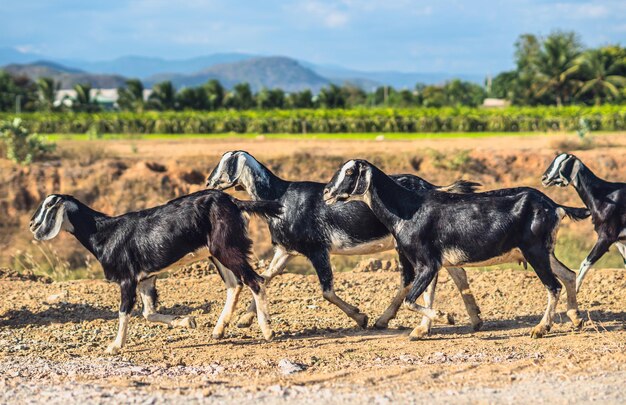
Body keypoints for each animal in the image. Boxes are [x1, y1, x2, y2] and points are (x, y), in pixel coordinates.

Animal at [30, 191, 280, 352]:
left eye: (48, 205)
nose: (32, 225)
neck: (103, 232)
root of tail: (234, 201)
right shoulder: (146, 279)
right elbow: (148, 313)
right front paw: (186, 321)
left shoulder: (127, 279)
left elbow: (124, 312)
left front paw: (115, 346)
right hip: (216, 253)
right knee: (234, 285)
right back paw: (218, 330)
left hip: (226, 247)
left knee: (255, 280)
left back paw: (267, 331)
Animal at [205, 150, 482, 332]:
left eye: (223, 163)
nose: (208, 181)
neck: (280, 197)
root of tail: (431, 186)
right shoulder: (286, 250)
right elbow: (266, 277)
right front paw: (245, 319)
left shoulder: (317, 250)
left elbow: (326, 291)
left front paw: (360, 317)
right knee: (457, 272)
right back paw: (475, 318)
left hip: (404, 246)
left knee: (410, 278)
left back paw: (383, 320)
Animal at [324, 159, 588, 340]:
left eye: (350, 172)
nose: (327, 193)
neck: (409, 209)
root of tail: (554, 206)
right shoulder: (432, 264)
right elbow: (427, 295)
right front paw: (421, 330)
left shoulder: (428, 263)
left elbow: (411, 299)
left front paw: (446, 316)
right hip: (544, 251)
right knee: (568, 275)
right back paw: (575, 319)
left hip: (535, 251)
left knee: (553, 286)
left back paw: (541, 328)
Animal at [540, 154, 620, 290]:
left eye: (562, 163)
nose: (544, 178)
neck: (605, 196)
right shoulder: (620, 242)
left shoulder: (606, 238)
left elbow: (585, 263)